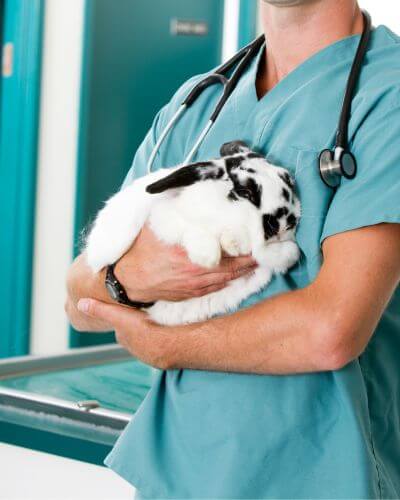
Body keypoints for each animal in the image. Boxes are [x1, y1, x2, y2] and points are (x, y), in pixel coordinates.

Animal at [86, 142, 302, 328]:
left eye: (287, 178)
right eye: (245, 191)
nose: (286, 222)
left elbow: (283, 253)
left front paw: (234, 244)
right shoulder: (166, 220)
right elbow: (193, 230)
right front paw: (210, 257)